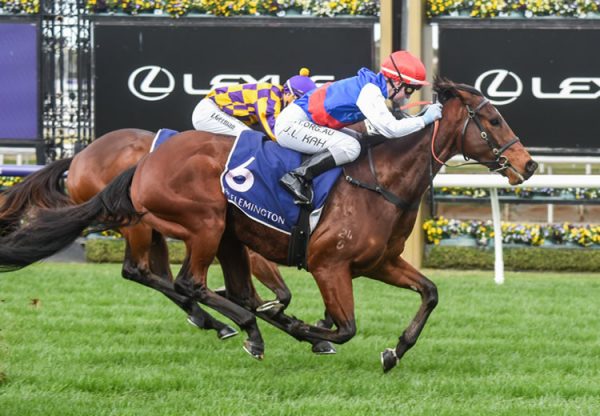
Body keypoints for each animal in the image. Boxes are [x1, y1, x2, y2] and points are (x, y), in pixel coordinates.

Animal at [0, 128, 292, 340]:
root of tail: (80, 157)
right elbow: (274, 289)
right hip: (135, 223)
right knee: (137, 270)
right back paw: (212, 319)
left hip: (152, 230)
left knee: (160, 274)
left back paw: (205, 318)